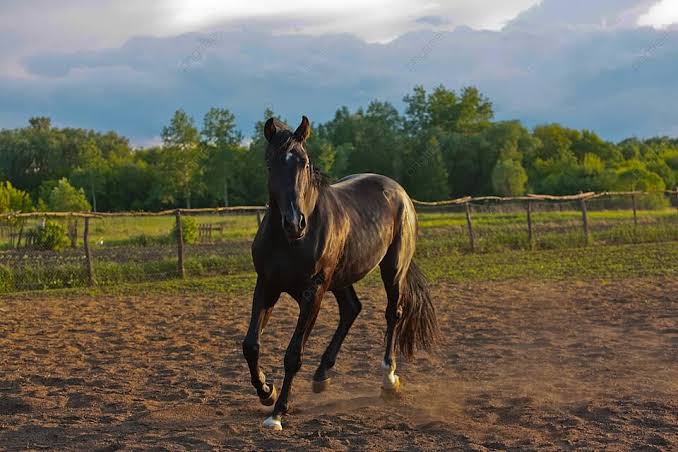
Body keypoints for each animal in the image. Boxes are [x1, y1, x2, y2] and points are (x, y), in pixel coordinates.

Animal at [242, 115, 438, 431]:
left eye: (303, 163)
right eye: (271, 164)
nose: (294, 223)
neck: (289, 242)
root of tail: (399, 191)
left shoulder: (313, 293)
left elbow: (293, 355)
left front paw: (277, 413)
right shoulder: (267, 285)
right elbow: (250, 345)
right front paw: (266, 392)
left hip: (392, 269)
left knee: (393, 313)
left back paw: (388, 378)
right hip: (341, 278)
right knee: (351, 308)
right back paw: (322, 374)